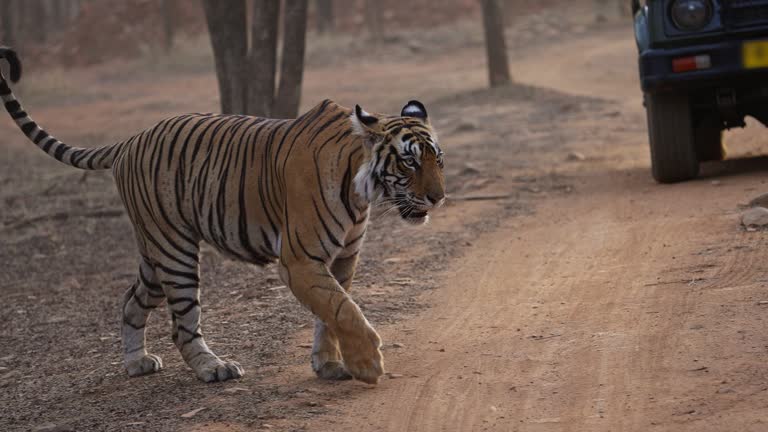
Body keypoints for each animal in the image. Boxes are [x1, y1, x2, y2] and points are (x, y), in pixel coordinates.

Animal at [0, 48, 444, 384]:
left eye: (437, 159)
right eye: (408, 162)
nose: (439, 198)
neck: (361, 190)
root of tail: (130, 139)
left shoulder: (344, 257)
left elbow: (332, 311)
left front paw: (330, 364)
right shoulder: (301, 260)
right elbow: (342, 309)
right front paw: (368, 364)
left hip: (154, 255)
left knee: (130, 301)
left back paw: (136, 362)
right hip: (174, 252)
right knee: (182, 325)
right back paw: (213, 368)